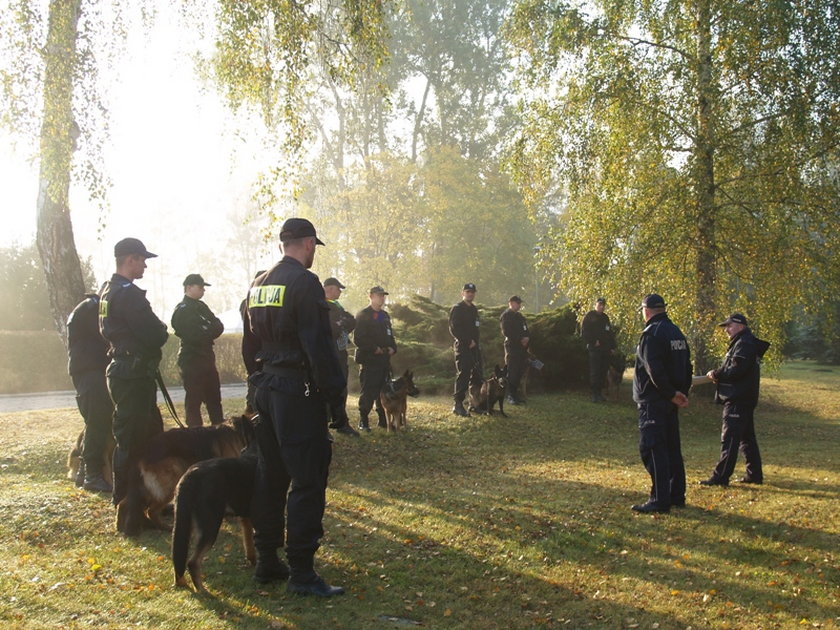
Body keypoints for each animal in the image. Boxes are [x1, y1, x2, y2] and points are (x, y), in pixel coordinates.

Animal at [115, 414, 256, 540]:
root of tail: (141, 452)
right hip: (173, 478)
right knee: (151, 510)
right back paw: (165, 528)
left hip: (146, 488)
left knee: (124, 503)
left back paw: (122, 526)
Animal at [172, 442, 258, 596]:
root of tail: (190, 475)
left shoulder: (246, 518)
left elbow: (249, 543)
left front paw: (253, 561)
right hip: (210, 526)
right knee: (192, 562)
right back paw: (202, 591)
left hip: (182, 523)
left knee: (178, 557)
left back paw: (182, 584)